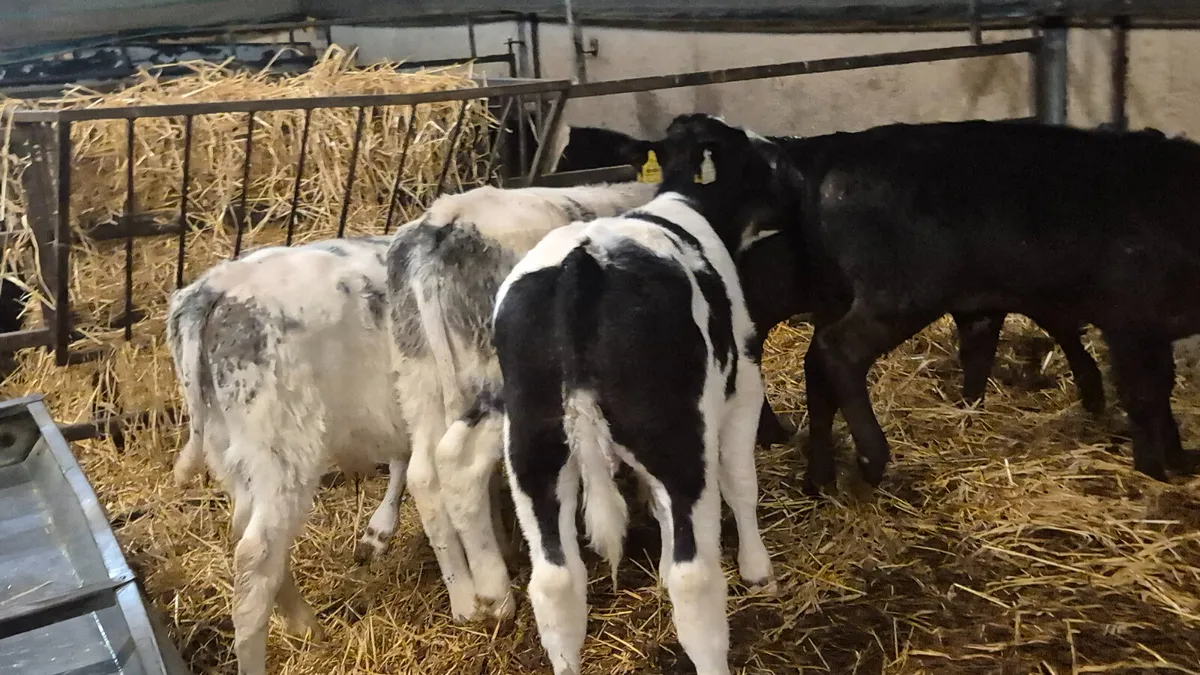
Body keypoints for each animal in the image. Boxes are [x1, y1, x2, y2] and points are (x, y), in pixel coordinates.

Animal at [491, 114, 792, 675]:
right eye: (755, 158)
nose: (788, 168)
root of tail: (581, 268)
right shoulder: (743, 384)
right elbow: (742, 483)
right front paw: (758, 570)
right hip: (678, 438)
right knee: (696, 579)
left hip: (531, 448)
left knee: (555, 582)